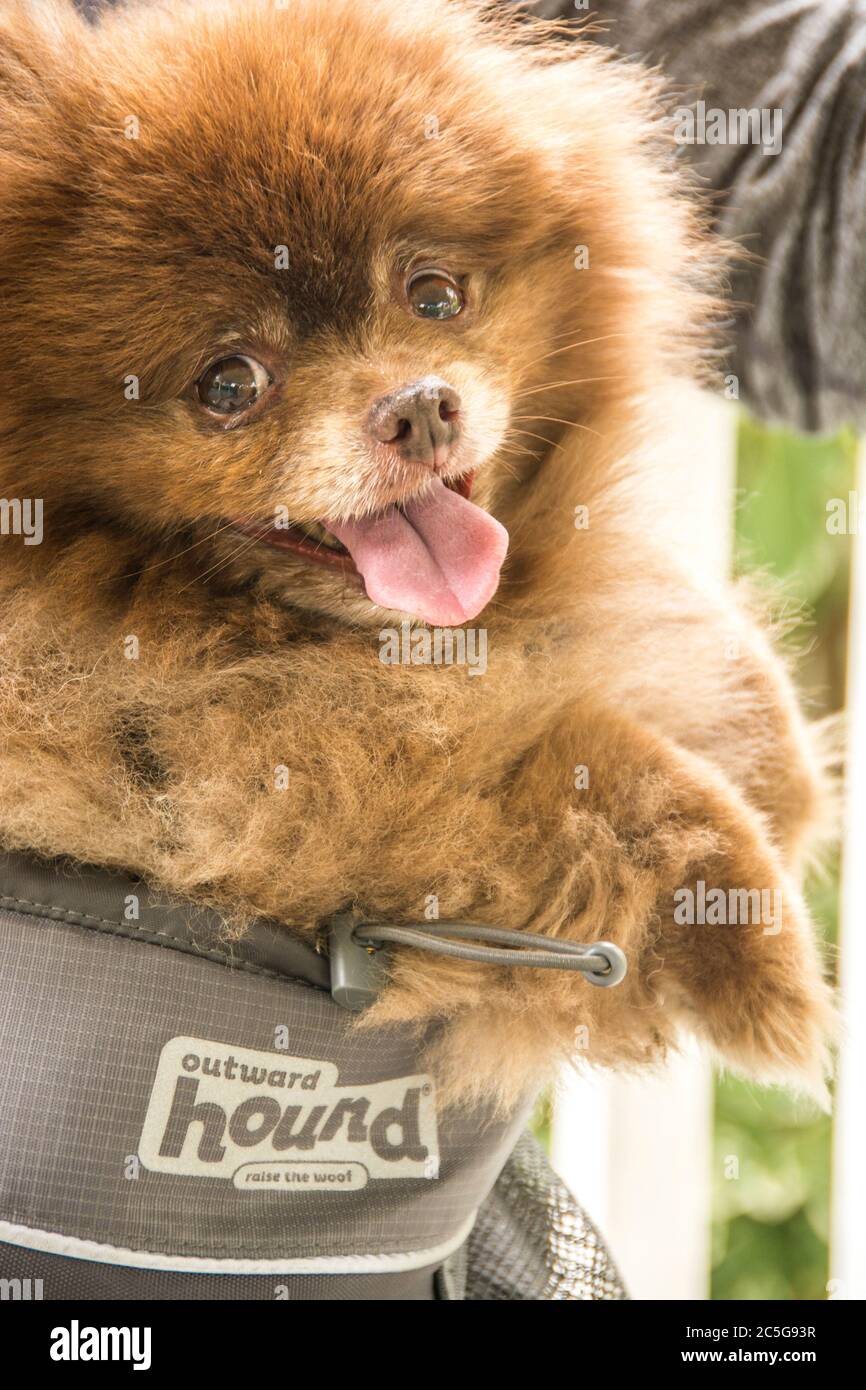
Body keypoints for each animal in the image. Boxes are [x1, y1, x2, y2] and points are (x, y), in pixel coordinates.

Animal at [1, 0, 839, 1106]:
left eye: (434, 295)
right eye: (229, 384)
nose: (418, 405)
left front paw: (777, 754)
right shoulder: (246, 761)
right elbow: (600, 764)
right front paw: (760, 942)